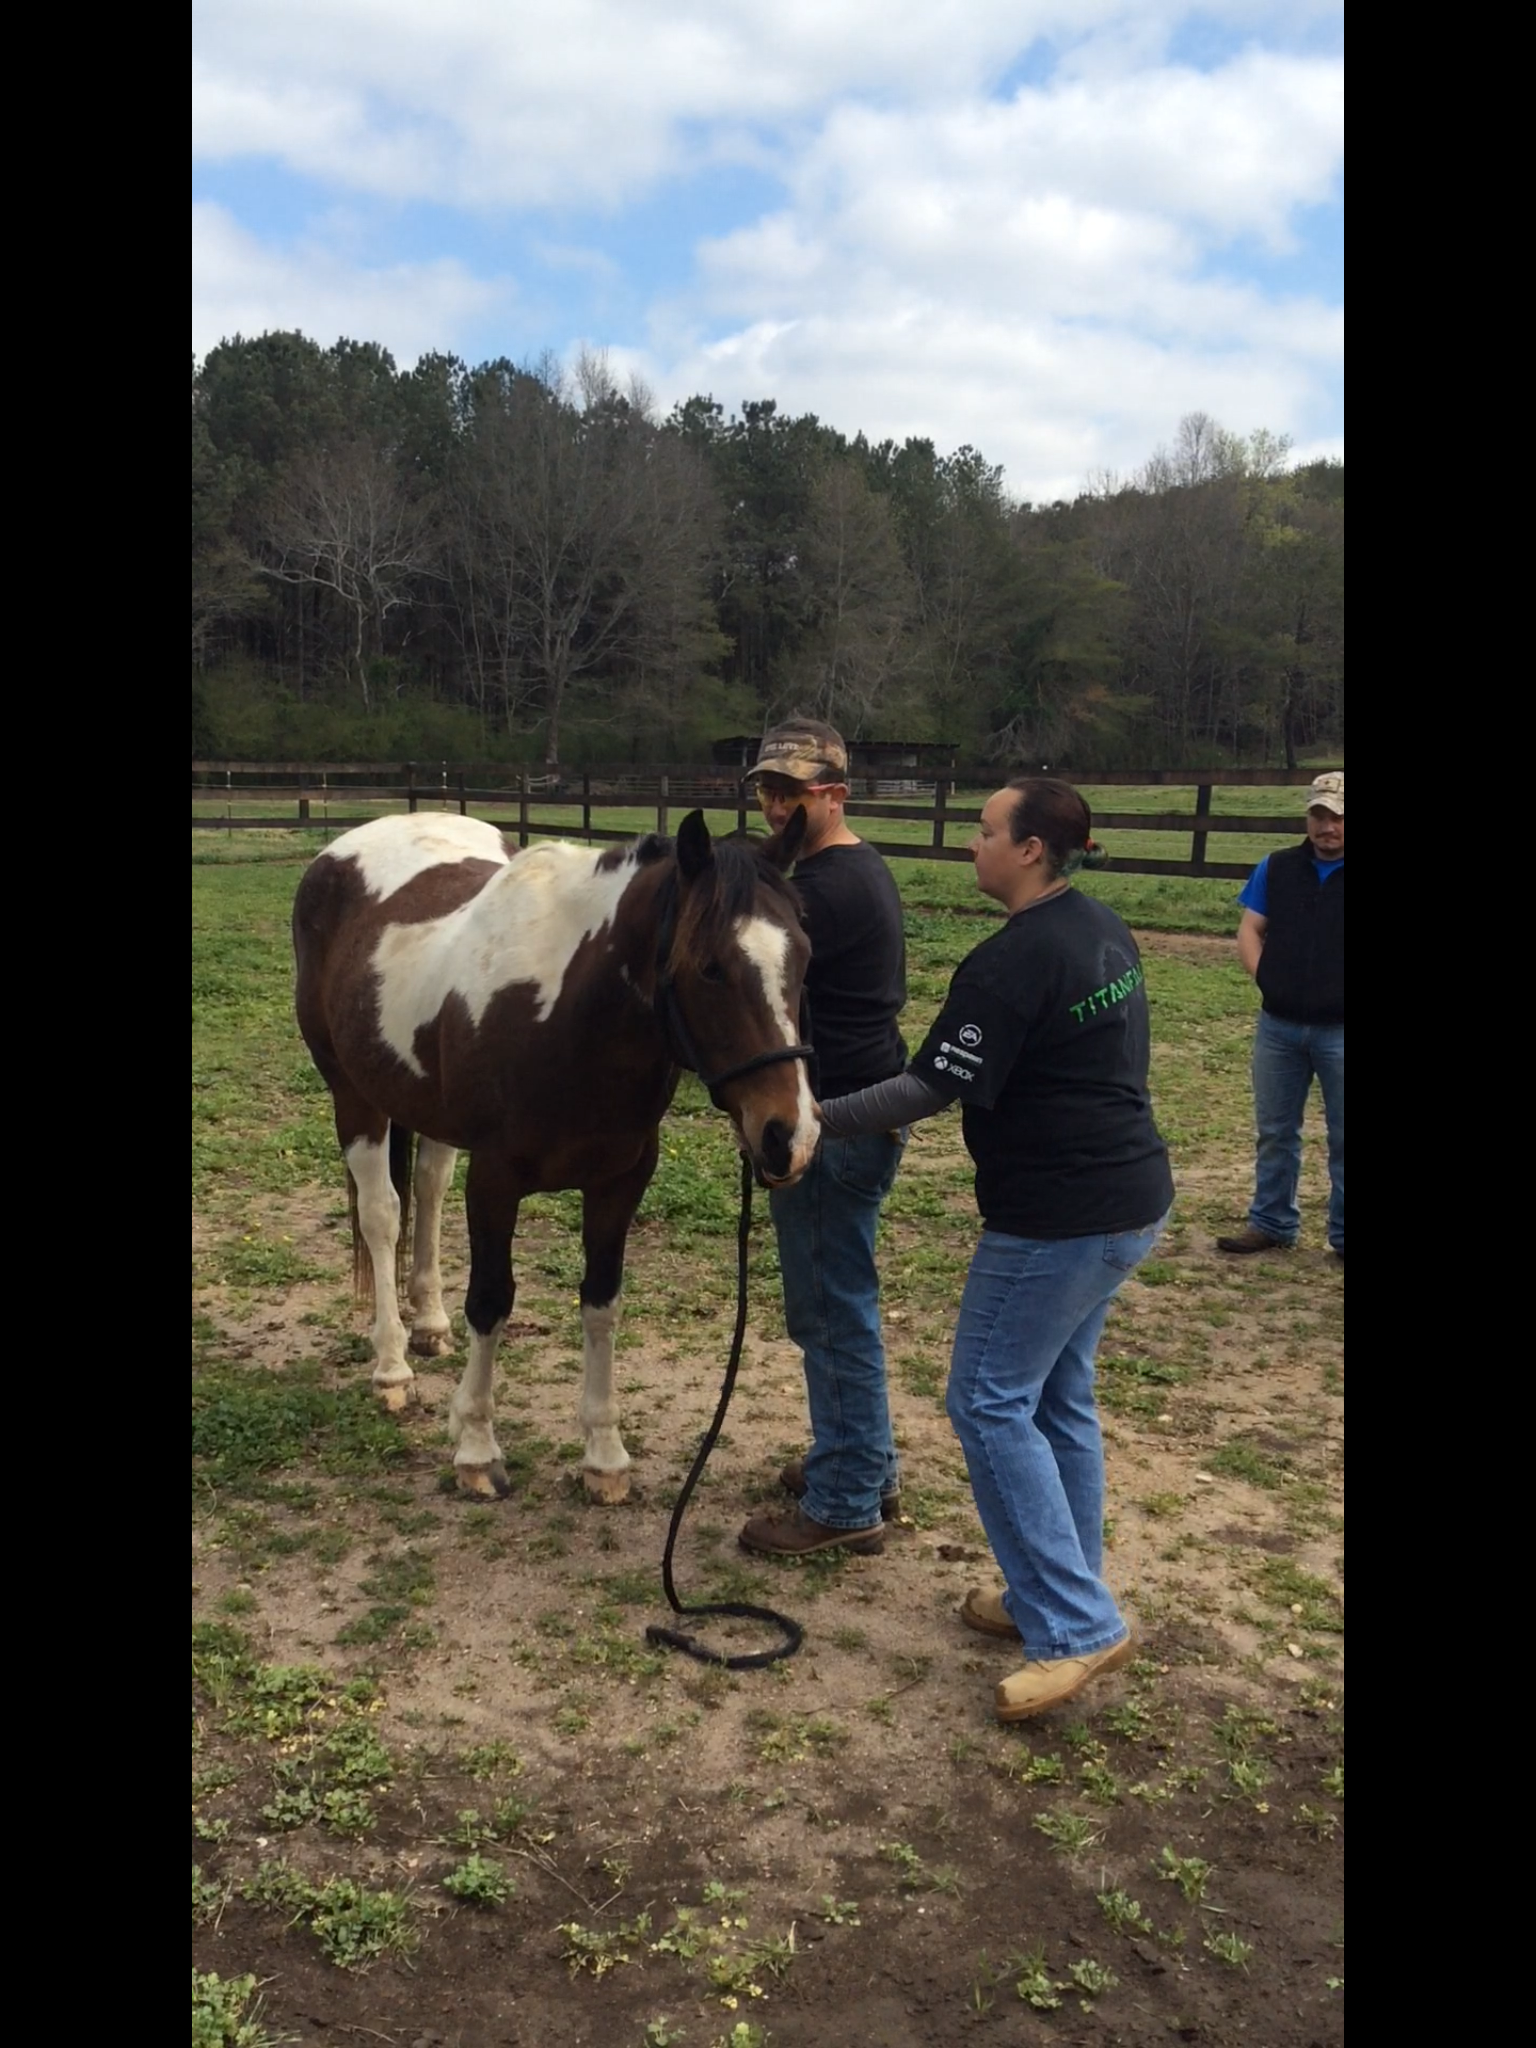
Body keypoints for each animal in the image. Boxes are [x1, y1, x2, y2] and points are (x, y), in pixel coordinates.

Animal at [290, 806, 819, 1499]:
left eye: (804, 955)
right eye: (710, 967)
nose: (790, 1136)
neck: (568, 1016)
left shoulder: (621, 1181)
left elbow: (600, 1302)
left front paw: (604, 1454)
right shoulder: (495, 1179)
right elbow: (491, 1300)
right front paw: (477, 1447)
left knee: (428, 1189)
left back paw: (429, 1324)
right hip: (354, 1096)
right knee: (382, 1215)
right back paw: (392, 1366)